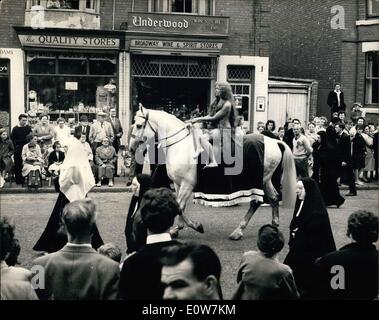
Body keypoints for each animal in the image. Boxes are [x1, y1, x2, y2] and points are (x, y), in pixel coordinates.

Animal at [129, 107, 298, 240]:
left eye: (138, 125)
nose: (131, 148)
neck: (179, 144)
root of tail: (274, 141)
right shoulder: (178, 184)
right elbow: (180, 207)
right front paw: (177, 228)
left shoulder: (187, 184)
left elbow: (179, 206)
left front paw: (195, 226)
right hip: (265, 179)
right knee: (274, 197)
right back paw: (274, 224)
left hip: (258, 181)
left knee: (256, 202)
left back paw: (238, 231)